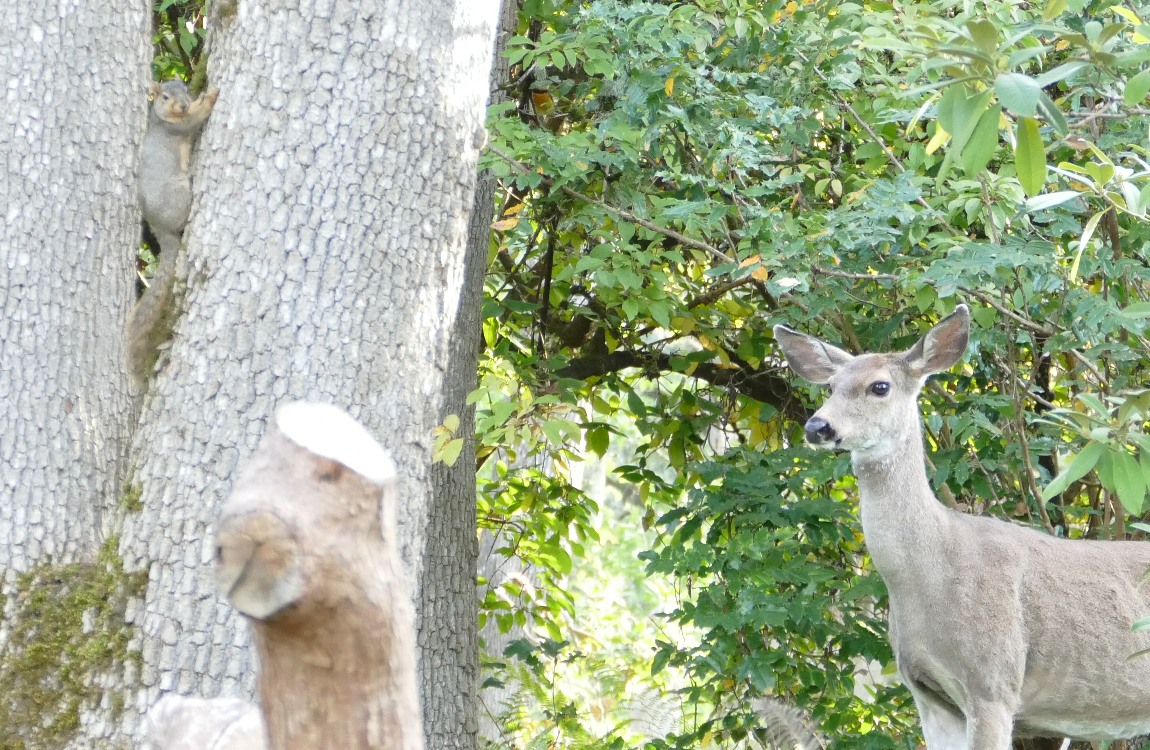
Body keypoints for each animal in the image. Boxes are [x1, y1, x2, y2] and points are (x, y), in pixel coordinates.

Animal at [127, 81, 218, 384]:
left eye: (185, 89)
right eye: (165, 96)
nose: (184, 104)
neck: (165, 117)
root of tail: (160, 229)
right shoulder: (179, 127)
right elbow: (197, 118)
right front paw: (210, 96)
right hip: (177, 193)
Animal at [772, 305, 1150, 750]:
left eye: (880, 386)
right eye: (830, 386)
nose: (818, 427)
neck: (932, 571)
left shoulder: (992, 683)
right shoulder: (928, 695)